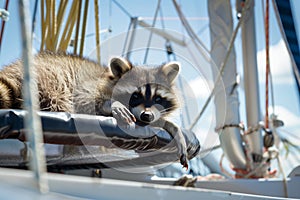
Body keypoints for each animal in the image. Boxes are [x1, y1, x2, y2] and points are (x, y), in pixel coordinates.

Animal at [0, 52, 188, 168]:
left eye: (157, 99)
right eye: (135, 96)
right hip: (49, 79)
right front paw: (112, 105)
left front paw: (173, 127)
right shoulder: (89, 86)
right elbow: (86, 99)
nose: (146, 115)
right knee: (60, 100)